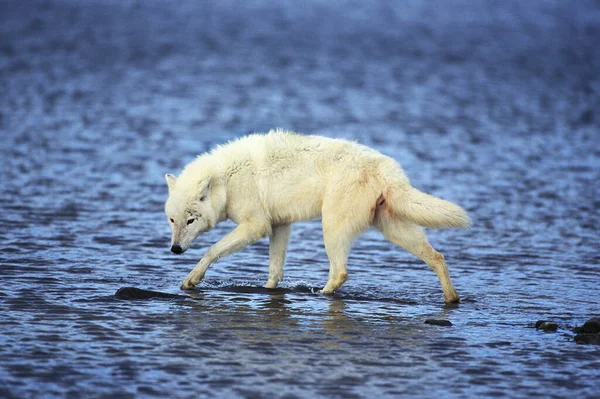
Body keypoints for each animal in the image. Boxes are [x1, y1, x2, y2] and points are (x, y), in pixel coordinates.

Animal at [166, 129, 472, 304]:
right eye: (172, 221)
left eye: (191, 221)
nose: (175, 249)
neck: (226, 180)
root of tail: (390, 171)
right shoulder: (280, 225)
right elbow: (274, 271)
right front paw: (267, 290)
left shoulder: (256, 226)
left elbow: (211, 250)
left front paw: (191, 280)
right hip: (394, 230)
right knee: (437, 257)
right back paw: (452, 298)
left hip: (332, 228)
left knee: (340, 272)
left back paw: (319, 295)